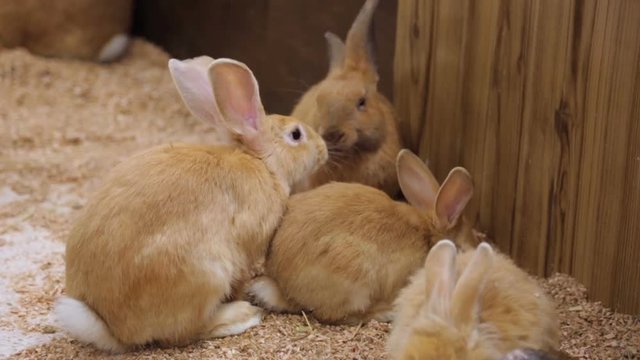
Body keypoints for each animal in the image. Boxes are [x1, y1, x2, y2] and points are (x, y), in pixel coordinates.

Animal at [52, 54, 328, 352]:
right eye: (296, 135)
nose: (323, 149)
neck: (262, 162)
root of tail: (112, 328)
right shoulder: (245, 251)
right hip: (207, 275)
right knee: (185, 333)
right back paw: (243, 315)